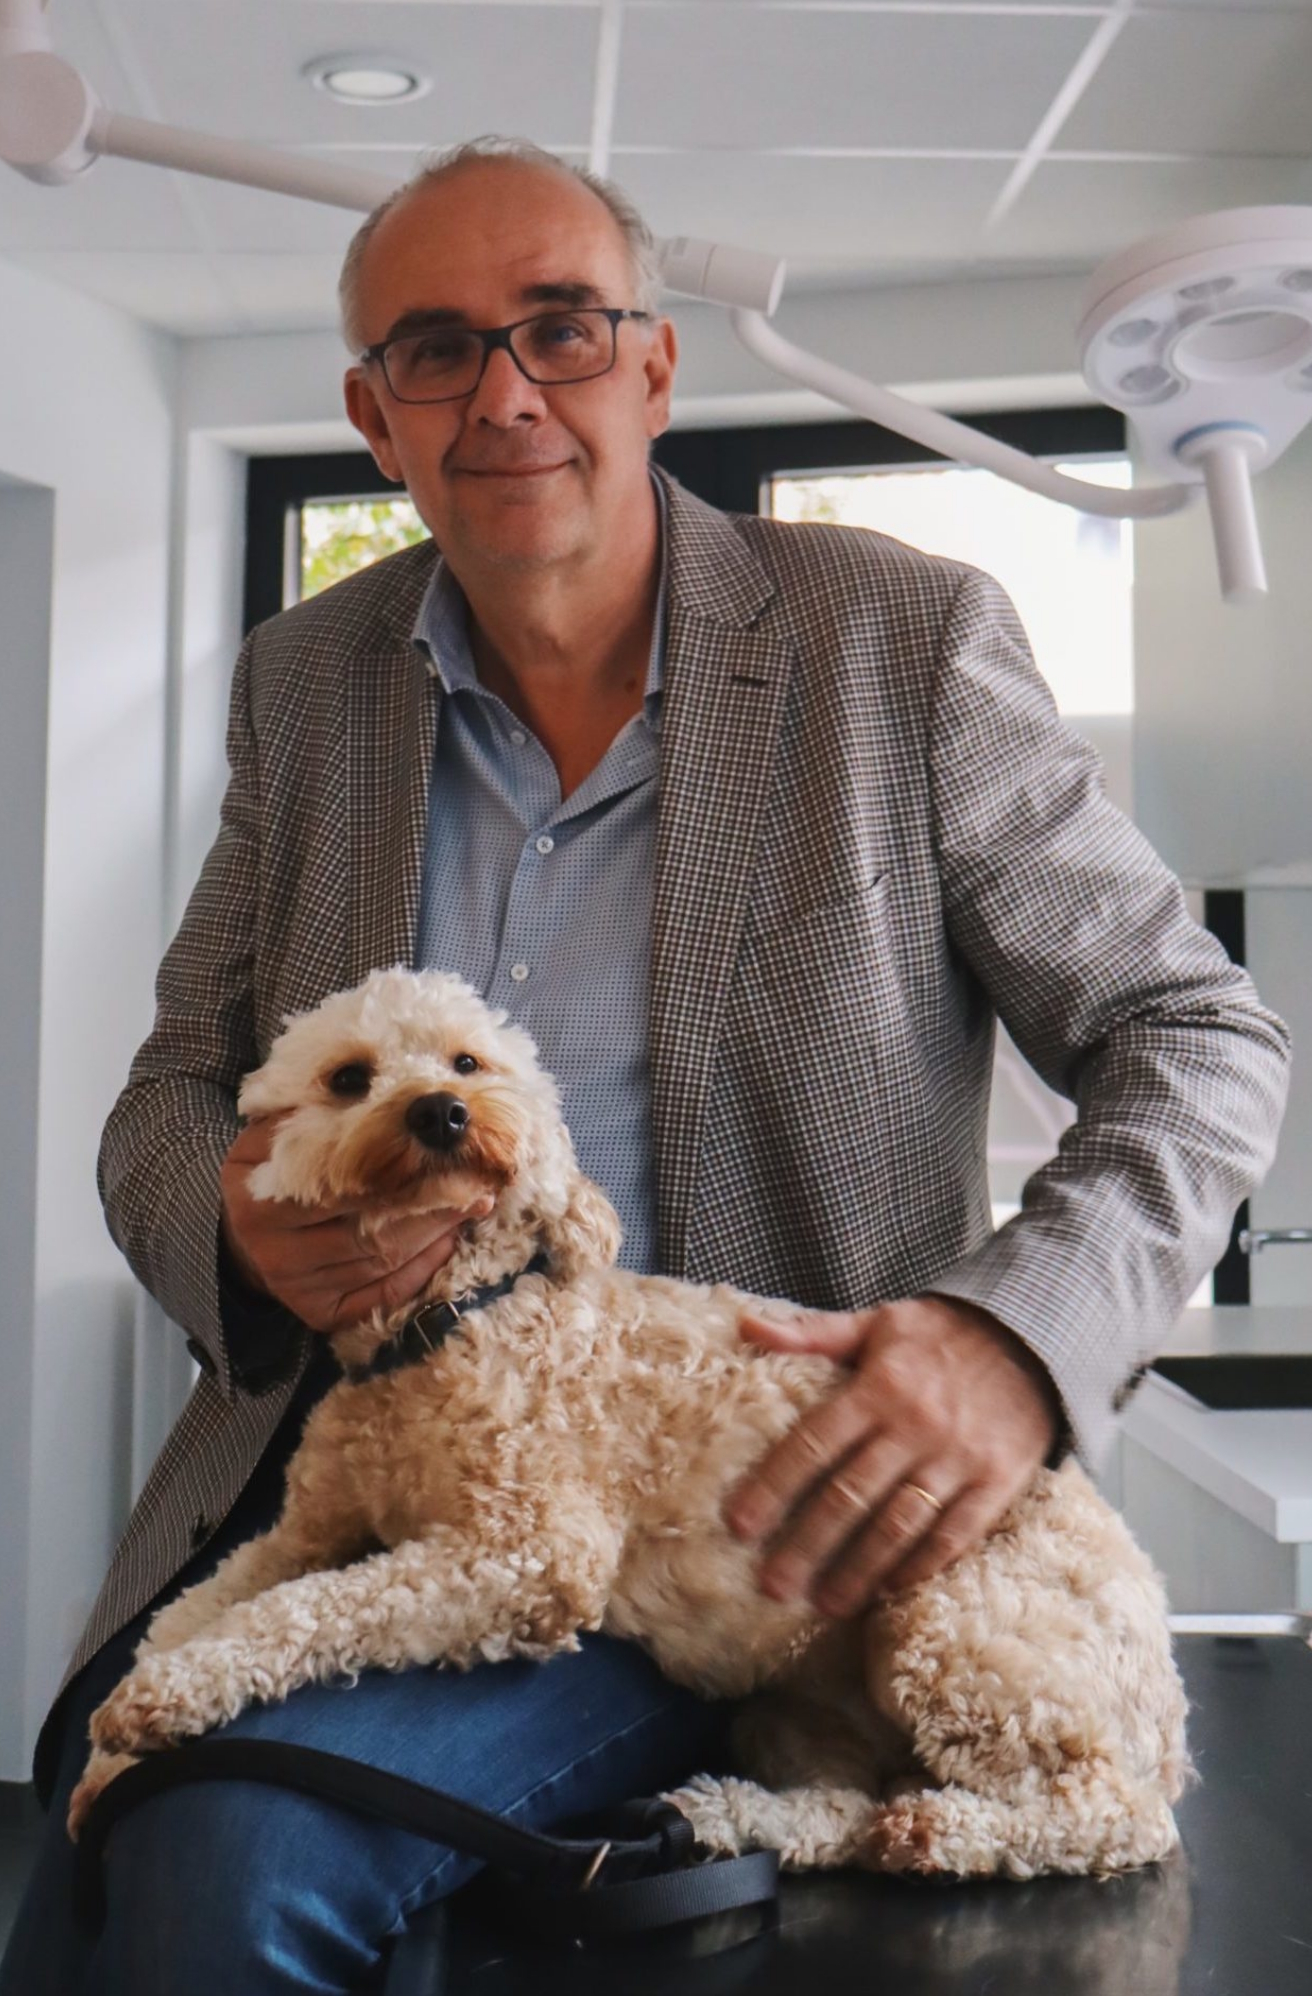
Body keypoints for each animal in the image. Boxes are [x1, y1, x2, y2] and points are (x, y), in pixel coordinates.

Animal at [69, 967, 1191, 1878]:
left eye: (467, 1059)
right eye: (350, 1077)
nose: (442, 1112)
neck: (448, 1324)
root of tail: (1168, 1699)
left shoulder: (524, 1555)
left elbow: (310, 1611)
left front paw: (167, 1699)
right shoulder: (304, 1532)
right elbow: (198, 1609)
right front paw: (112, 1752)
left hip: (953, 1630)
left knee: (1113, 1813)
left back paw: (943, 1831)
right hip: (795, 1705)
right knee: (843, 1804)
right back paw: (741, 1820)